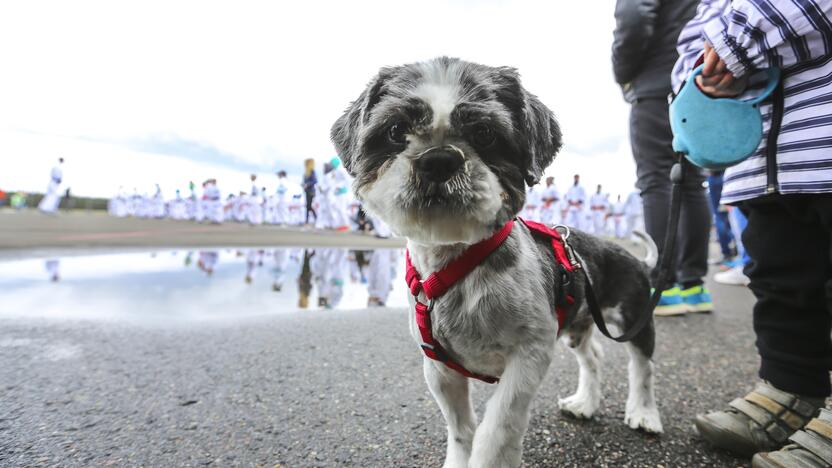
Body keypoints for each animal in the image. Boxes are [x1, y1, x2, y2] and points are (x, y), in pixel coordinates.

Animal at [332, 57, 664, 468]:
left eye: (486, 133)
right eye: (396, 130)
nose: (439, 158)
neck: (460, 265)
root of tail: (631, 258)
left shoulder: (529, 354)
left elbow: (498, 429)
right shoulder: (439, 367)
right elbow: (461, 428)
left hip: (634, 318)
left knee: (643, 367)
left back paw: (644, 413)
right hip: (578, 324)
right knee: (593, 357)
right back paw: (585, 403)